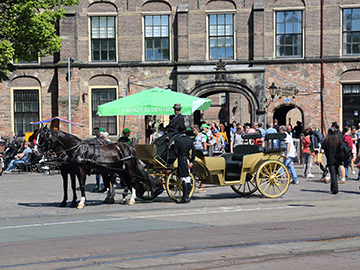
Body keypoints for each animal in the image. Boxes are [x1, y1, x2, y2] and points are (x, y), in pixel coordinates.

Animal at [34, 126, 162, 209]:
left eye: (42, 136)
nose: (35, 150)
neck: (77, 149)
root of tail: (130, 147)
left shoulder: (80, 171)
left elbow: (81, 186)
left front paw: (81, 202)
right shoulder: (71, 171)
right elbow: (70, 186)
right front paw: (70, 201)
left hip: (128, 168)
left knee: (132, 181)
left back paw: (131, 199)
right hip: (119, 170)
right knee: (125, 182)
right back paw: (124, 197)